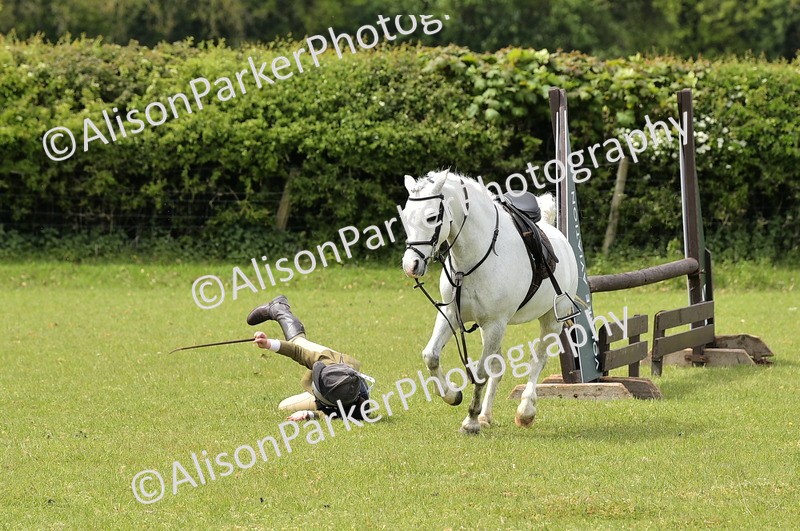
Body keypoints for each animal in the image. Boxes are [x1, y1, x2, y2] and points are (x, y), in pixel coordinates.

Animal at [400, 170, 579, 434]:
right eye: (406, 218)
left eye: (432, 217)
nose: (411, 265)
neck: (471, 259)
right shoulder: (452, 316)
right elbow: (431, 355)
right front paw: (452, 396)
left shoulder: (495, 323)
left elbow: (480, 373)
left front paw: (471, 421)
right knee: (499, 367)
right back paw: (486, 415)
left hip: (551, 321)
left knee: (538, 360)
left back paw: (525, 411)